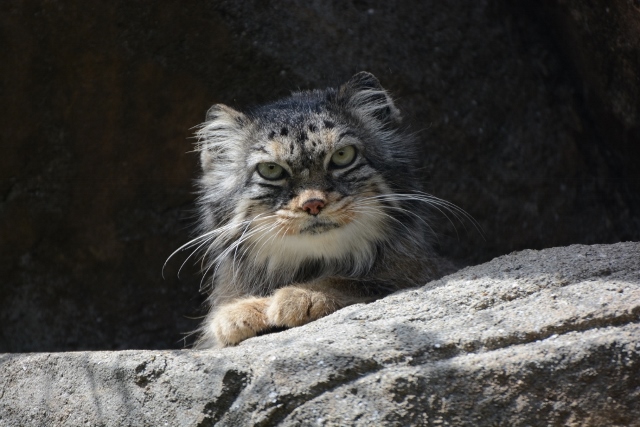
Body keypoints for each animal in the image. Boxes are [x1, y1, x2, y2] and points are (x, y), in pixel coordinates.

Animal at [182, 72, 458, 350]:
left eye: (343, 155)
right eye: (271, 170)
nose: (312, 204)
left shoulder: (422, 272)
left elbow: (362, 281)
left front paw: (304, 295)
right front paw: (238, 311)